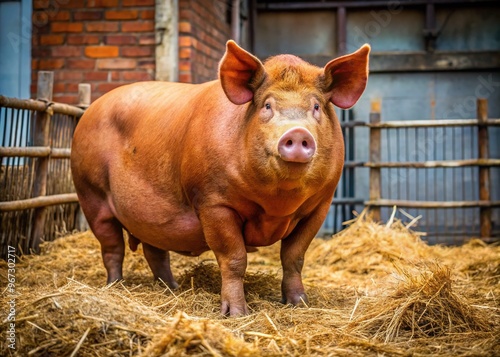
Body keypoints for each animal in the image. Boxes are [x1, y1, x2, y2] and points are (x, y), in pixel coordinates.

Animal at [70, 40, 370, 316]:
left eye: (316, 106)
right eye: (267, 105)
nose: (297, 133)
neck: (277, 205)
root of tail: (90, 109)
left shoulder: (319, 206)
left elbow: (294, 257)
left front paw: (299, 304)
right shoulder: (213, 202)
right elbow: (234, 259)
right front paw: (237, 314)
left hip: (148, 215)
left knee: (155, 251)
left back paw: (172, 289)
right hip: (90, 192)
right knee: (112, 247)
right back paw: (115, 286)